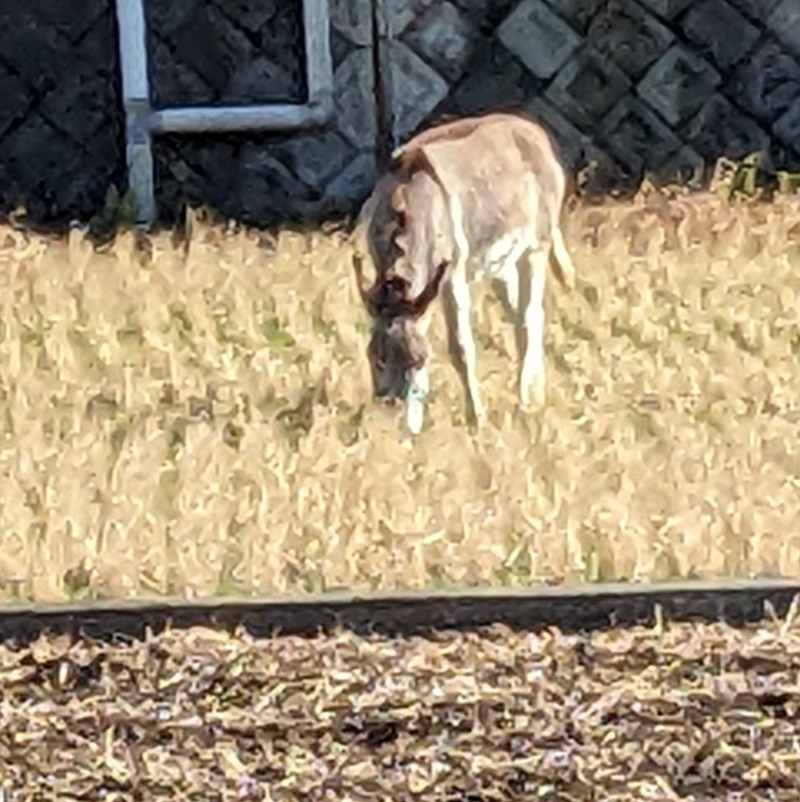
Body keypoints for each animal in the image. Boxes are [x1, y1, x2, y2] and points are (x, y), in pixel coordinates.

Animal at [352, 111, 576, 432]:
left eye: (419, 360)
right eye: (375, 358)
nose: (389, 419)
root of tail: (530, 128)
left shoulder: (452, 274)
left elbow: (461, 347)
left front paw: (477, 422)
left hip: (535, 246)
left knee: (529, 317)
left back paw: (525, 404)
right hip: (501, 263)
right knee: (521, 316)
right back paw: (537, 395)